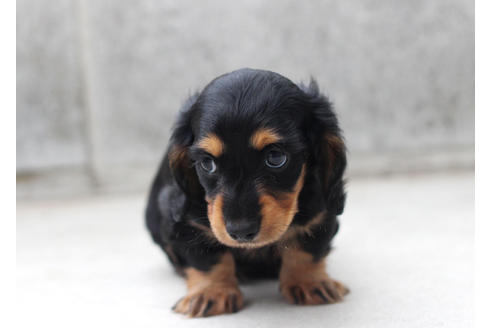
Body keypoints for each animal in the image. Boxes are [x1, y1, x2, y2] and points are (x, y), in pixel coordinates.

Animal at [144, 68, 348, 316]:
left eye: (276, 157)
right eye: (207, 163)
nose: (241, 232)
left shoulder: (321, 211)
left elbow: (308, 247)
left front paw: (310, 282)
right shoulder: (186, 222)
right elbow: (206, 256)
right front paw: (211, 292)